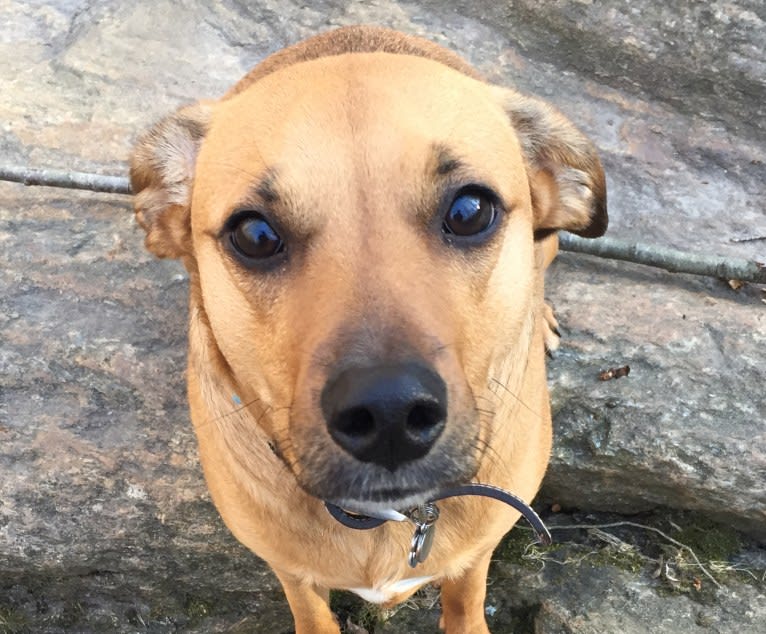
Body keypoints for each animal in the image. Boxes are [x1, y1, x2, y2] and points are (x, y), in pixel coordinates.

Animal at [134, 25, 612, 632]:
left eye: (471, 211)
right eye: (255, 235)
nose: (389, 414)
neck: (388, 518)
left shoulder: (477, 554)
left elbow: (465, 600)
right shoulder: (291, 573)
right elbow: (312, 613)